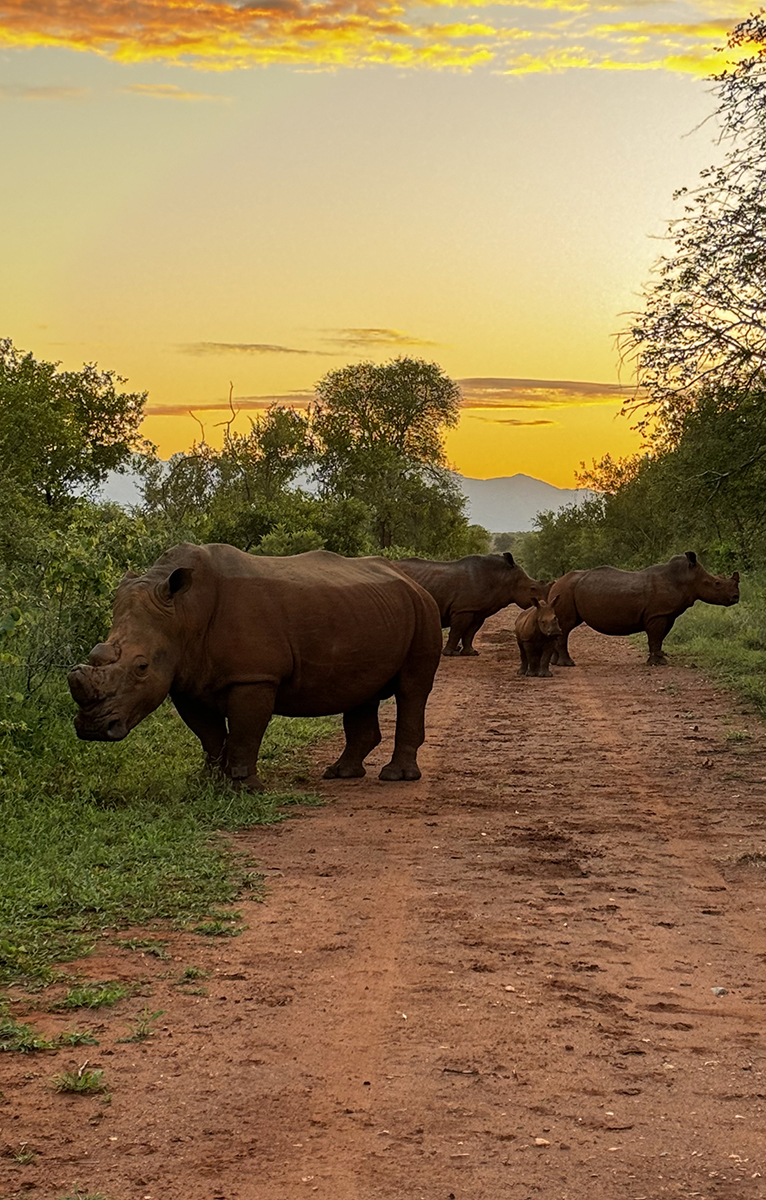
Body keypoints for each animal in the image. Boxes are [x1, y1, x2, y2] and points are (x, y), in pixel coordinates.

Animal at [68, 544, 442, 789]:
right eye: (94, 654)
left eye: (142, 667)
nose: (92, 729)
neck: (184, 613)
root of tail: (411, 580)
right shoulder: (186, 678)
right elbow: (210, 735)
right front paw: (208, 782)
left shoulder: (253, 677)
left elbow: (246, 731)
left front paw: (244, 787)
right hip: (370, 611)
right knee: (361, 691)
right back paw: (340, 773)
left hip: (425, 611)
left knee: (412, 690)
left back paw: (396, 778)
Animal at [393, 553, 546, 657]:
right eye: (533, 588)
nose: (544, 603)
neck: (502, 578)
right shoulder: (463, 609)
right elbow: (456, 631)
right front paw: (450, 653)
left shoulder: (478, 611)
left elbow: (470, 632)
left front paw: (471, 652)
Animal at [548, 551, 739, 667]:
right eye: (717, 583)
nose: (736, 597)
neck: (685, 577)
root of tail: (555, 584)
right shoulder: (657, 614)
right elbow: (655, 638)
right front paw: (658, 663)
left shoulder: (667, 615)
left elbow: (659, 638)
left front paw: (659, 659)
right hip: (565, 591)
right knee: (566, 626)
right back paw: (568, 664)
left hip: (564, 591)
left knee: (563, 627)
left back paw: (555, 663)